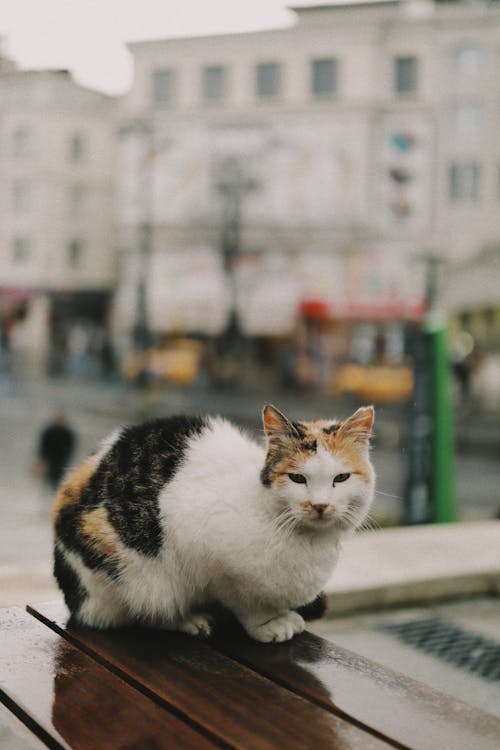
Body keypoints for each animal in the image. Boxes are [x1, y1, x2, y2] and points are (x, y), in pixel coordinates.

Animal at [53, 406, 376, 648]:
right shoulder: (217, 566)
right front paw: (269, 623)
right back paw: (187, 620)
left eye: (341, 478)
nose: (320, 505)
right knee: (147, 611)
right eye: (297, 478)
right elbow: (245, 601)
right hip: (137, 575)